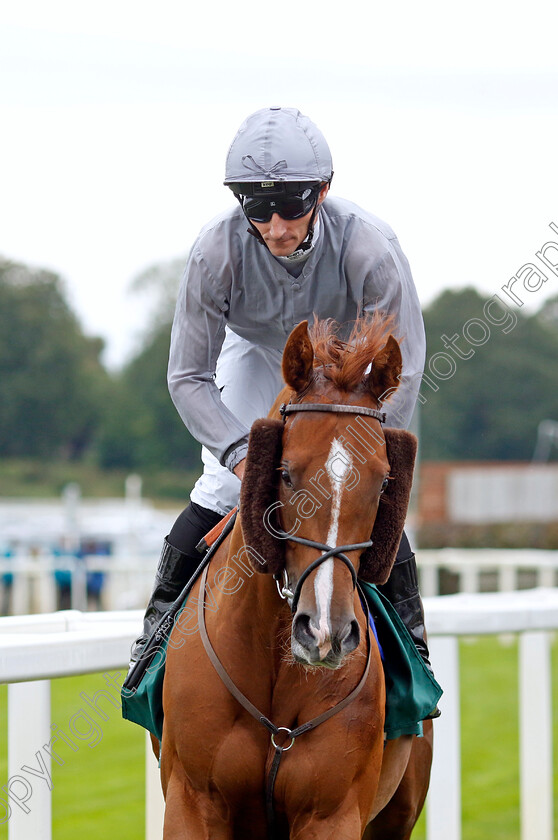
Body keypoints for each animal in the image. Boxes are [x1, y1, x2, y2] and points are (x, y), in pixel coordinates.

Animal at [160, 316, 436, 840]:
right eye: (285, 473)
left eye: (384, 483)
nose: (326, 631)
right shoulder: (191, 800)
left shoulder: (333, 813)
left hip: (398, 811)